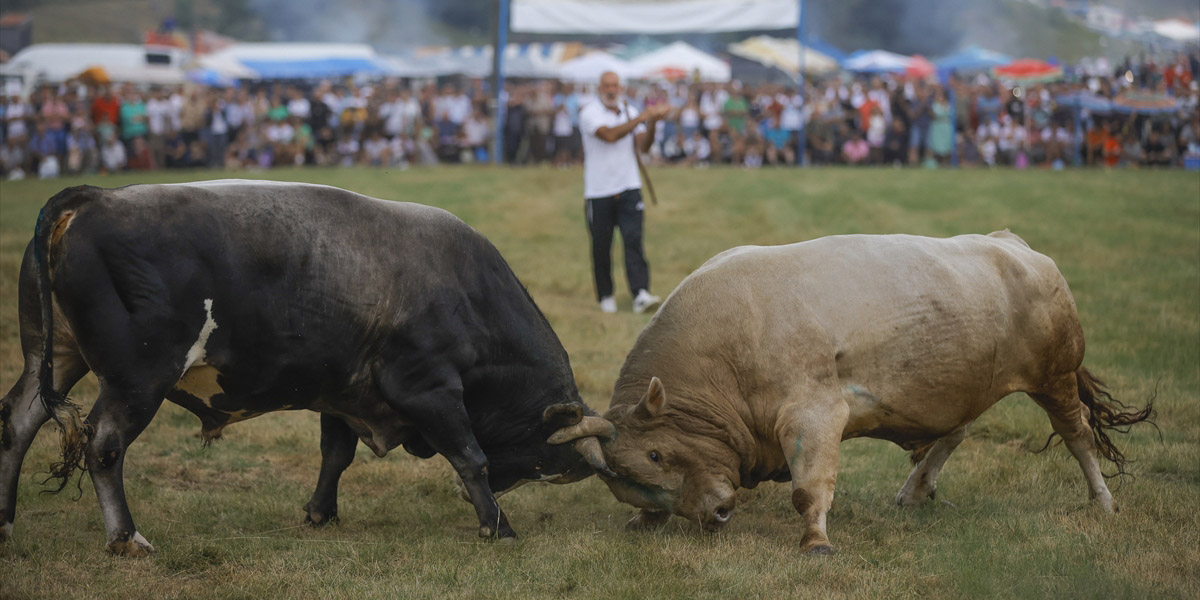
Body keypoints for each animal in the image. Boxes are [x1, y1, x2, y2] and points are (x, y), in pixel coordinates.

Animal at [0, 180, 600, 554]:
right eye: (547, 457)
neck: (465, 289)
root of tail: (92, 198)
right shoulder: (430, 389)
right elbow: (470, 456)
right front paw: (498, 527)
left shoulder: (342, 391)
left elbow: (335, 455)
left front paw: (320, 512)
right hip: (136, 380)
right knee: (103, 444)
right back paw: (125, 537)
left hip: (52, 358)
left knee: (18, 424)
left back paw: (6, 523)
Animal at [549, 229, 1152, 552]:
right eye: (633, 482)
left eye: (656, 453)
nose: (717, 513)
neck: (727, 341)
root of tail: (1014, 245)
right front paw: (647, 520)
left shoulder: (813, 414)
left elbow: (808, 486)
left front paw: (815, 541)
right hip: (958, 383)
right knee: (954, 431)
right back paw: (916, 489)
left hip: (1055, 376)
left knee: (1077, 437)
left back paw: (1103, 502)